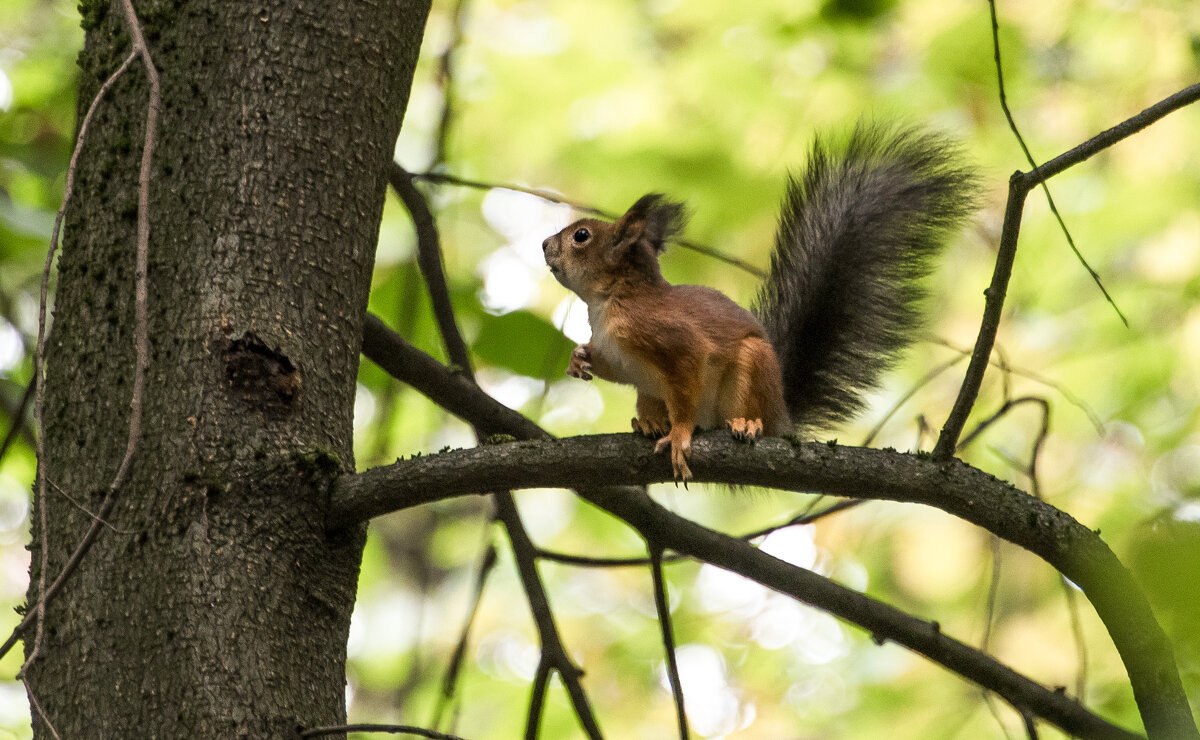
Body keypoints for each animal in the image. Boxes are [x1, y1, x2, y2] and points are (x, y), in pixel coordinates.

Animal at [542, 122, 974, 479]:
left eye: (581, 236)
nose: (545, 244)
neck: (608, 303)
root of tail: (783, 414)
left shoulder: (673, 340)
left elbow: (687, 377)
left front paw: (679, 434)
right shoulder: (620, 353)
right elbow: (613, 366)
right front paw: (579, 358)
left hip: (753, 370)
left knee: (741, 413)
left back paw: (745, 424)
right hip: (652, 391)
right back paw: (648, 422)